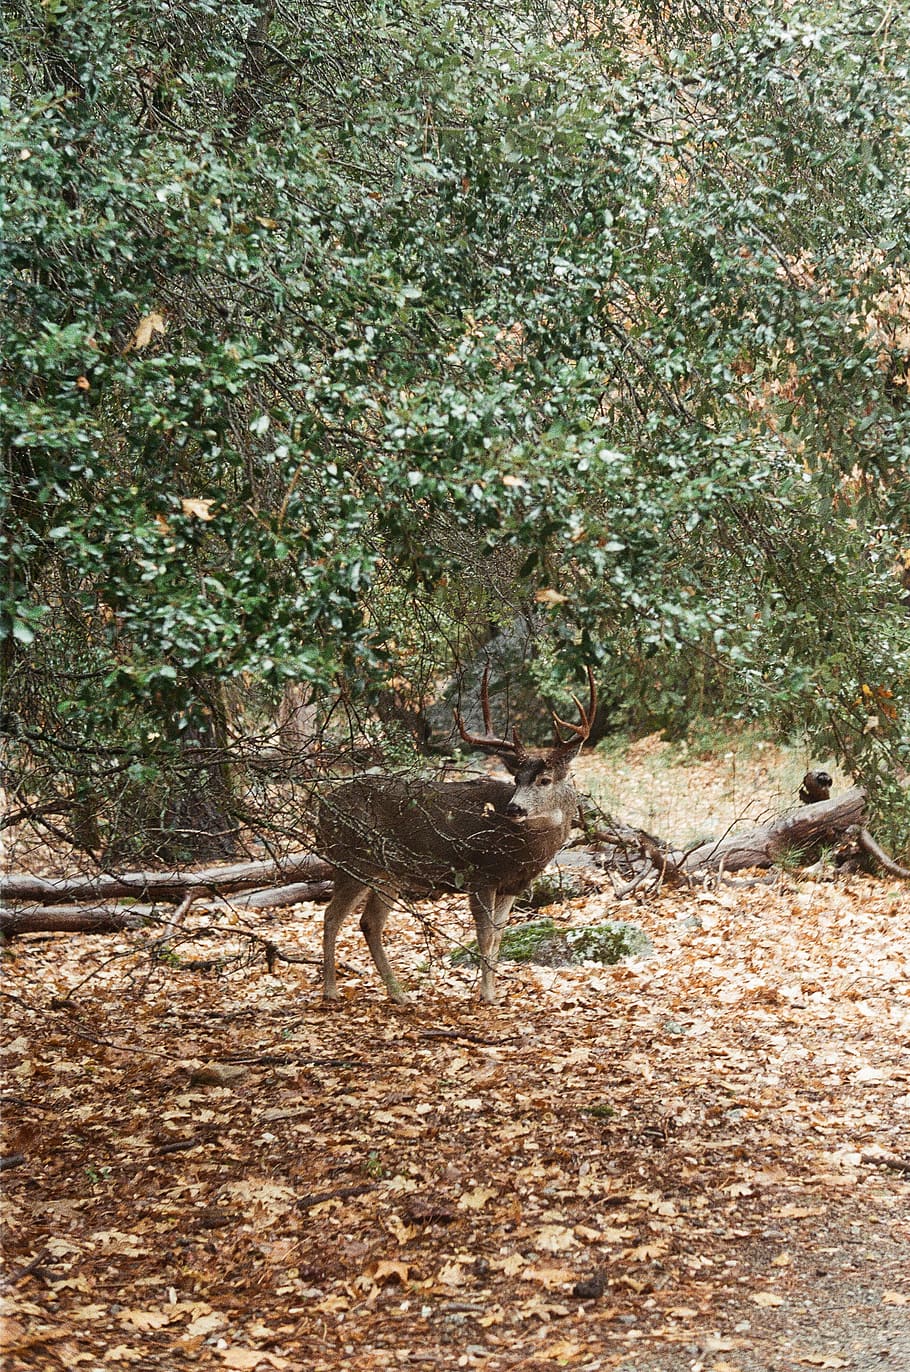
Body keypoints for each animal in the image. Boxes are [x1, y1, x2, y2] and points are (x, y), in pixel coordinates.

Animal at [317, 667, 596, 1005]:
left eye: (544, 779)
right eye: (517, 778)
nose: (514, 808)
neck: (521, 850)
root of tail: (321, 810)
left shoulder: (512, 886)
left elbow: (499, 936)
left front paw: (493, 990)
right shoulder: (480, 874)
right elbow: (485, 935)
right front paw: (487, 995)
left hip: (387, 873)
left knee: (369, 922)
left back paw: (399, 995)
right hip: (353, 859)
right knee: (332, 916)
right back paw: (331, 991)